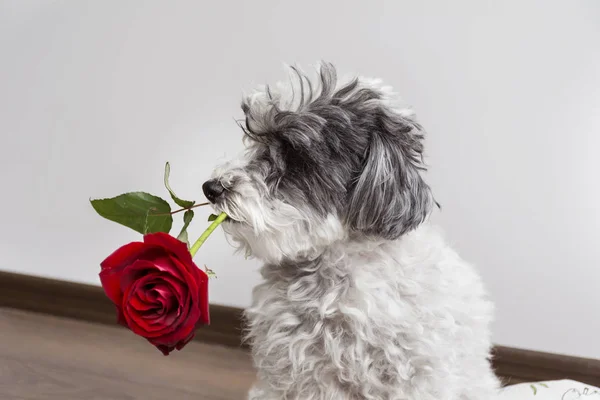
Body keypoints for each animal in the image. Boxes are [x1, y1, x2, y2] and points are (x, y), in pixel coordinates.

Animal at [204, 64, 500, 398]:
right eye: (255, 140)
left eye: (294, 157)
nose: (210, 188)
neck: (333, 275)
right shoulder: (293, 372)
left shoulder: (414, 377)